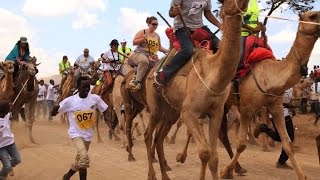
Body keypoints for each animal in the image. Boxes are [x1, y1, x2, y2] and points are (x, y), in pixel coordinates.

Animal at [121, 0, 249, 179]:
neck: (213, 77)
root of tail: (152, 71)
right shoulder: (189, 112)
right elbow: (204, 152)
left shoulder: (216, 112)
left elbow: (214, 157)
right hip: (154, 107)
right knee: (147, 135)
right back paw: (149, 172)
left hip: (171, 112)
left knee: (158, 138)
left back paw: (165, 174)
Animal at [220, 11, 320, 179]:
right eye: (313, 16)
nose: (311, 79)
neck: (270, 76)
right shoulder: (247, 106)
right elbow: (241, 144)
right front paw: (224, 170)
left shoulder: (276, 105)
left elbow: (288, 143)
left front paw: (302, 175)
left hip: (226, 103)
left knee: (221, 131)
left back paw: (236, 168)